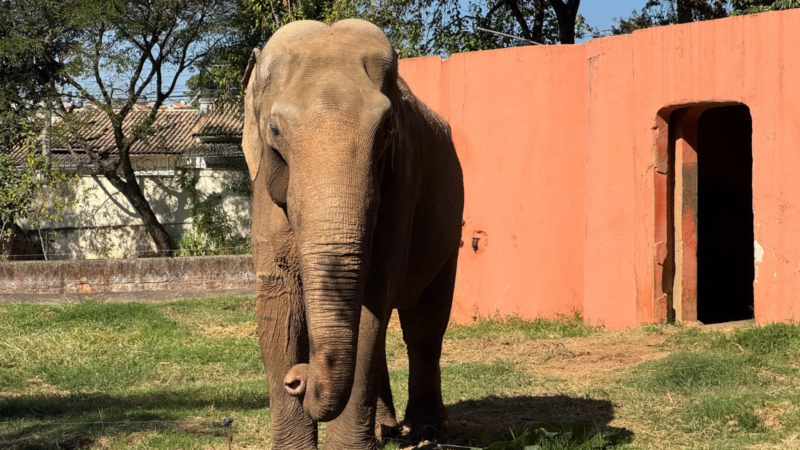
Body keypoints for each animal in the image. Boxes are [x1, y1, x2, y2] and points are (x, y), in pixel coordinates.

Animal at [241, 18, 464, 450]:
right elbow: (277, 300)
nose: (297, 378)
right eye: (275, 130)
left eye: (387, 129)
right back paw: (387, 429)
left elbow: (375, 293)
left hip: (451, 236)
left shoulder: (401, 183)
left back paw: (425, 431)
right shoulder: (262, 190)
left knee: (424, 327)